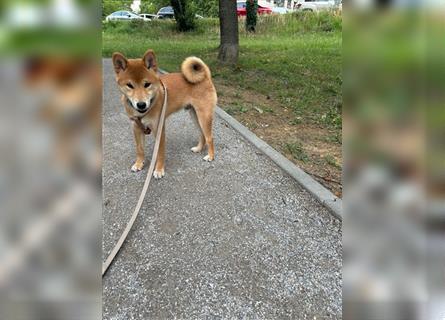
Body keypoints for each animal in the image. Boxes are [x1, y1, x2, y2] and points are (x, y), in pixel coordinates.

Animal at [112, 50, 218, 180]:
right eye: (129, 85)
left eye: (147, 84)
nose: (141, 104)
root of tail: (206, 77)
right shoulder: (136, 128)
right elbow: (140, 149)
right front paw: (139, 164)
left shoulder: (159, 129)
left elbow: (160, 153)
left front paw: (159, 169)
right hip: (195, 116)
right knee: (202, 134)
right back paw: (198, 149)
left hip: (204, 116)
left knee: (209, 137)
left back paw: (211, 156)